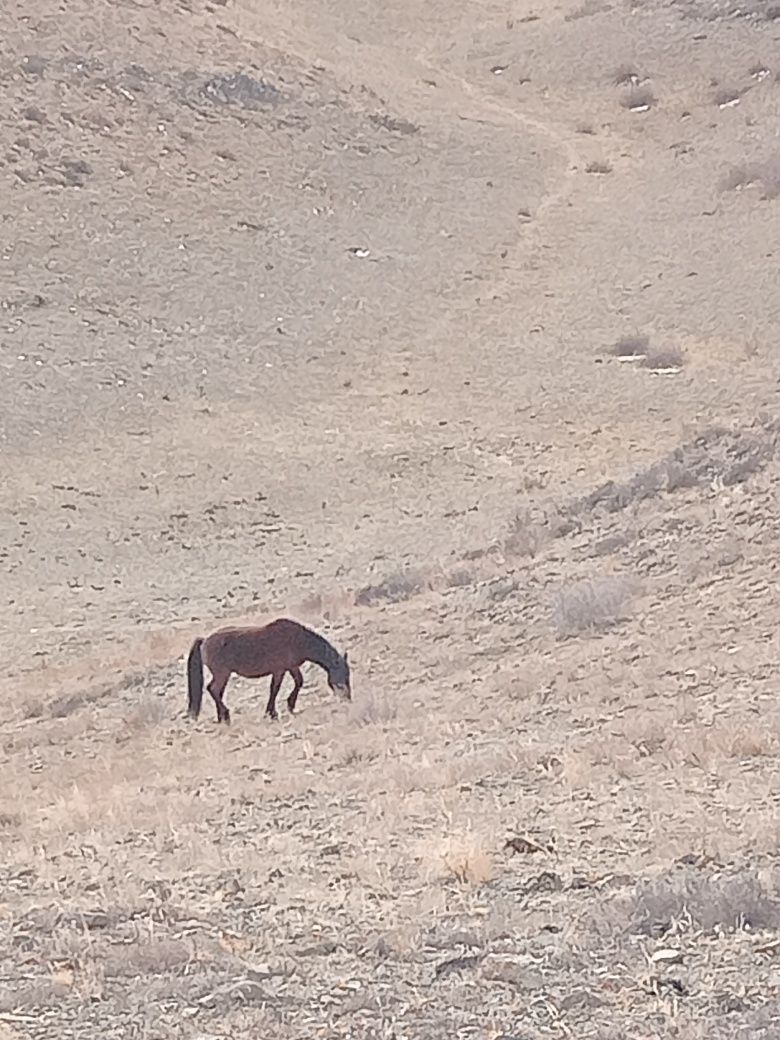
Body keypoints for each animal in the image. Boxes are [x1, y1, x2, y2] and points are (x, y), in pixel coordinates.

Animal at [186, 615, 351, 723]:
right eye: (341, 674)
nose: (347, 699)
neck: (298, 639)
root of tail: (204, 641)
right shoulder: (279, 670)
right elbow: (275, 689)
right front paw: (273, 713)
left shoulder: (291, 667)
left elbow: (298, 682)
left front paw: (288, 706)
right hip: (222, 674)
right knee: (213, 689)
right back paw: (226, 716)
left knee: (216, 692)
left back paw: (221, 717)